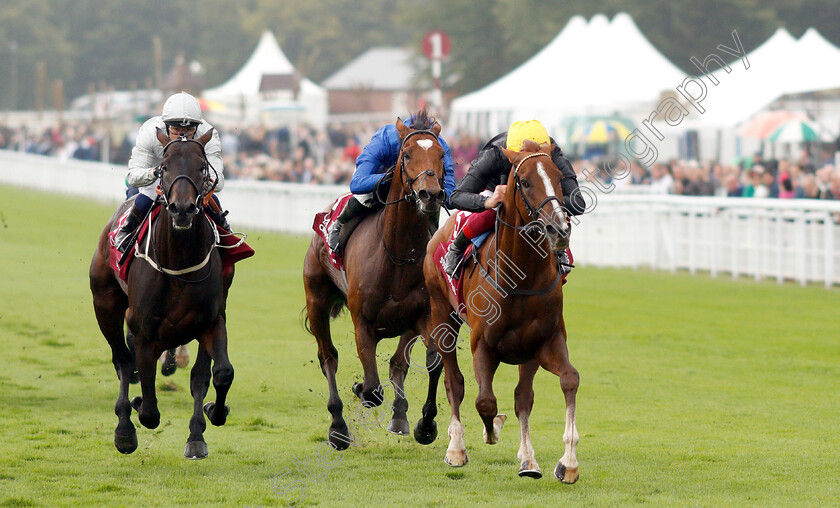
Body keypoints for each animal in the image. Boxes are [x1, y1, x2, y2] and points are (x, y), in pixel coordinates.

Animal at [90, 128, 235, 460]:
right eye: (164, 167)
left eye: (202, 168)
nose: (182, 209)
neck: (178, 262)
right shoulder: (144, 329)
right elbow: (148, 410)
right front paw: (136, 408)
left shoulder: (211, 321)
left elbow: (218, 373)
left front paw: (208, 420)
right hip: (105, 305)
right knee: (123, 360)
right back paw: (124, 429)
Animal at [302, 113, 446, 450]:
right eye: (406, 155)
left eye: (441, 154)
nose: (431, 194)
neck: (397, 253)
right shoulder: (363, 324)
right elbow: (371, 389)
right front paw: (358, 390)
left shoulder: (424, 316)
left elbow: (431, 364)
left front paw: (425, 425)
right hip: (316, 300)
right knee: (328, 358)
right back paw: (338, 428)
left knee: (396, 363)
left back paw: (399, 416)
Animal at [424, 141, 580, 482]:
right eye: (524, 182)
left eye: (559, 177)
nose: (559, 229)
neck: (521, 277)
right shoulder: (483, 345)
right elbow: (485, 401)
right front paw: (489, 431)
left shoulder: (545, 342)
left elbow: (567, 380)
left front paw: (567, 463)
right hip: (442, 315)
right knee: (454, 382)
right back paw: (456, 448)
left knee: (523, 396)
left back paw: (528, 459)